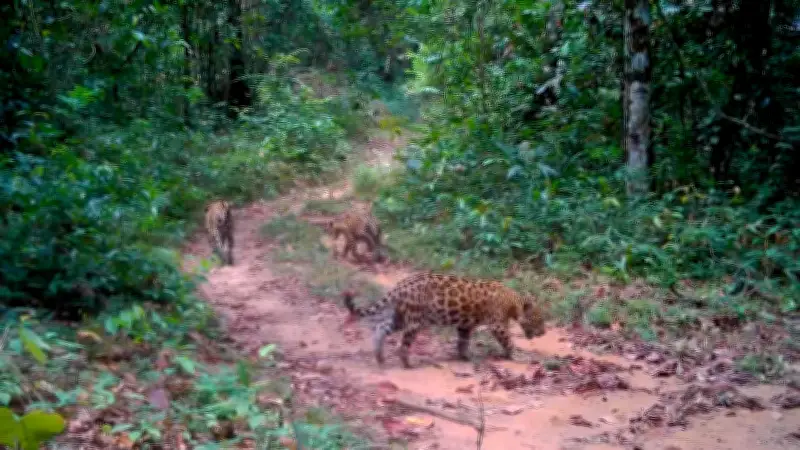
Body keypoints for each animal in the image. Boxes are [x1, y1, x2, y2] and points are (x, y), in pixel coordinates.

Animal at [342, 272, 546, 368]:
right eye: (539, 320)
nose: (544, 332)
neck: (513, 301)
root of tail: (401, 284)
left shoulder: (465, 325)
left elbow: (463, 341)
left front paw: (465, 356)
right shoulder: (498, 325)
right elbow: (508, 342)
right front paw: (518, 356)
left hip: (400, 316)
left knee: (381, 328)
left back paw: (379, 355)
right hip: (415, 320)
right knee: (402, 345)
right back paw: (408, 365)